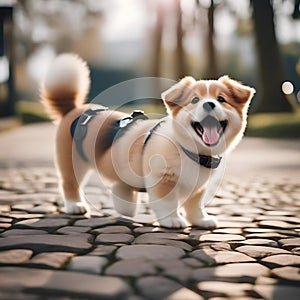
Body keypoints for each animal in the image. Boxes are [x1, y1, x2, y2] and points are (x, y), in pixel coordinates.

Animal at [40, 53, 255, 227]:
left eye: (221, 99)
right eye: (194, 100)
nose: (209, 104)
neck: (191, 151)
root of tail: (73, 109)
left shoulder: (197, 188)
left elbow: (194, 205)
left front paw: (201, 220)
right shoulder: (163, 179)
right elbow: (168, 203)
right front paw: (172, 220)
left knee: (120, 185)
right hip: (73, 162)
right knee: (69, 183)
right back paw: (75, 205)